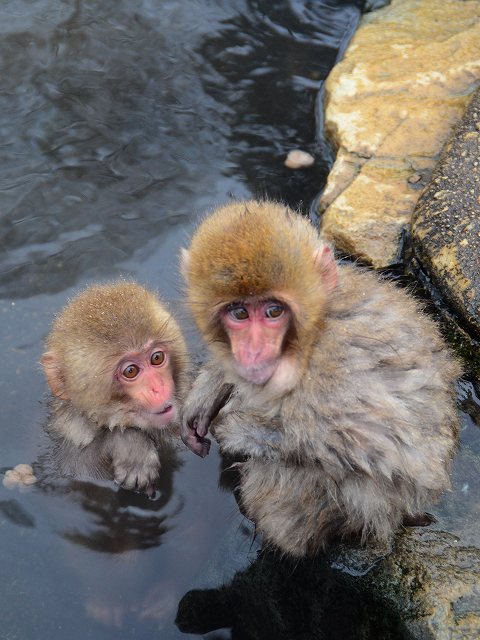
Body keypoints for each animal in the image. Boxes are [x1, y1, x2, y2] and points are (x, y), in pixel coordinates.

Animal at [180, 200, 461, 557]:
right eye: (239, 313)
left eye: (274, 311)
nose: (253, 351)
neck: (315, 326)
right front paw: (204, 396)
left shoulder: (333, 362)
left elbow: (372, 446)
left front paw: (236, 429)